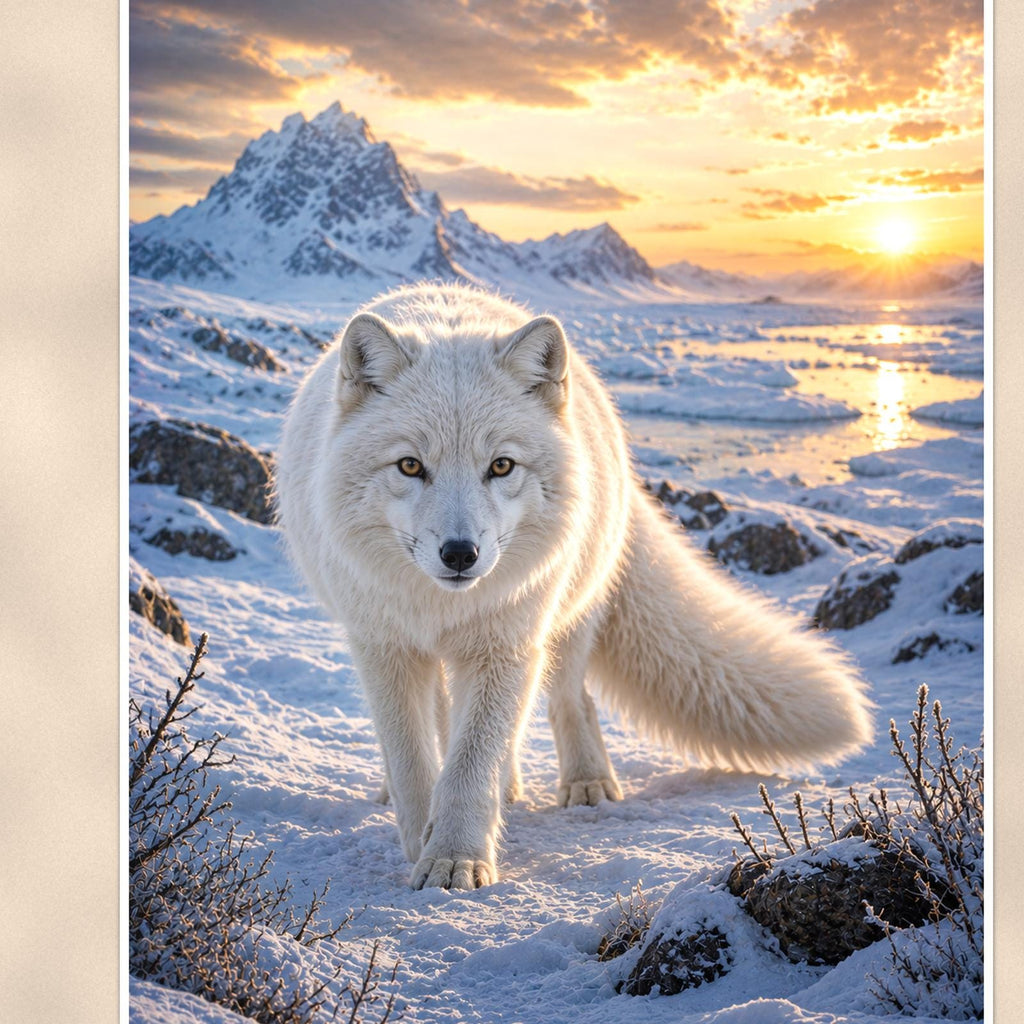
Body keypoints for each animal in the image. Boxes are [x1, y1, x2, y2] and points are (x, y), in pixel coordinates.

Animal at [275, 282, 872, 891]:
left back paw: (580, 782)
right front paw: (421, 839)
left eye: (501, 466)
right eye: (411, 466)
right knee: (448, 720)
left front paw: (453, 858)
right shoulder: (383, 648)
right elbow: (414, 764)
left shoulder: (506, 644)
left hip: (563, 620)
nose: (460, 554)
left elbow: (472, 764)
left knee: (567, 700)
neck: (441, 607)